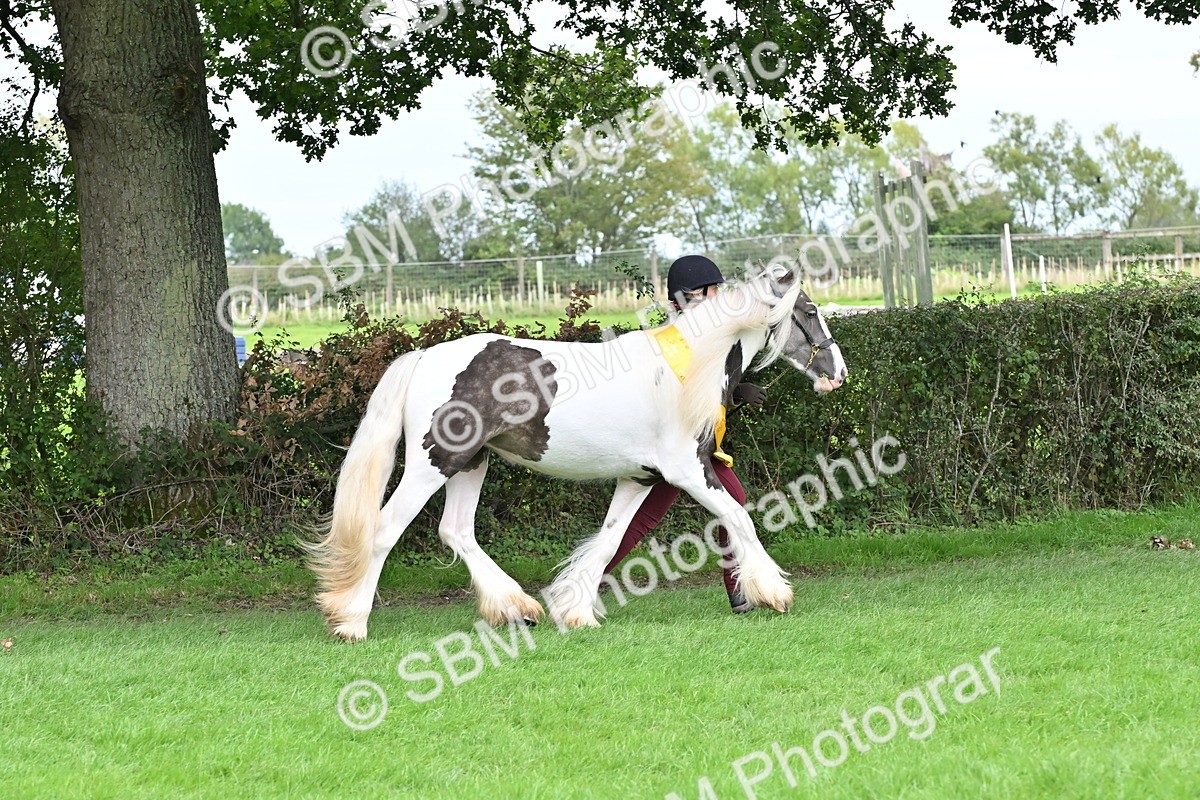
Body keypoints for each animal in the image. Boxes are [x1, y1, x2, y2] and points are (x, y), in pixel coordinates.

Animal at [306, 266, 848, 641]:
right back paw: (351, 623)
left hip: (471, 462)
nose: (838, 373)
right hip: (432, 463)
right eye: (811, 312)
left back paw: (518, 607)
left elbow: (610, 541)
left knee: (456, 531)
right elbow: (739, 517)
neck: (686, 370)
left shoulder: (641, 478)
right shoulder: (689, 471)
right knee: (383, 531)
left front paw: (576, 612)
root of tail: (424, 358)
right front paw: (774, 592)